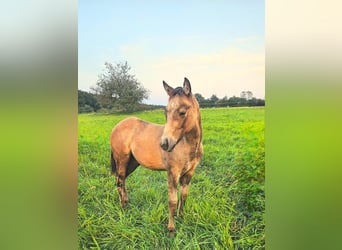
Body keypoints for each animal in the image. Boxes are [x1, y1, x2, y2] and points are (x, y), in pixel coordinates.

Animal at [109, 77, 203, 233]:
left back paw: (126, 202)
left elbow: (184, 196)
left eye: (182, 112)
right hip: (121, 159)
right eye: (166, 113)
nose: (164, 144)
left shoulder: (189, 172)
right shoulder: (173, 172)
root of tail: (117, 126)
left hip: (133, 162)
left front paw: (181, 217)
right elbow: (172, 200)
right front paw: (171, 229)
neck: (187, 145)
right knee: (120, 180)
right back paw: (123, 207)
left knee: (122, 180)